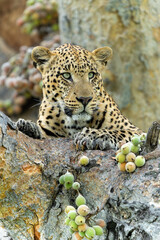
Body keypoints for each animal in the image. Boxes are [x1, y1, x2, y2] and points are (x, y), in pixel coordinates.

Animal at [1, 43, 142, 150]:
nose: (85, 99)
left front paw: (92, 135)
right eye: (66, 75)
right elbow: (44, 133)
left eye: (91, 75)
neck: (75, 124)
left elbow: (119, 131)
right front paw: (27, 126)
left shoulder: (136, 130)